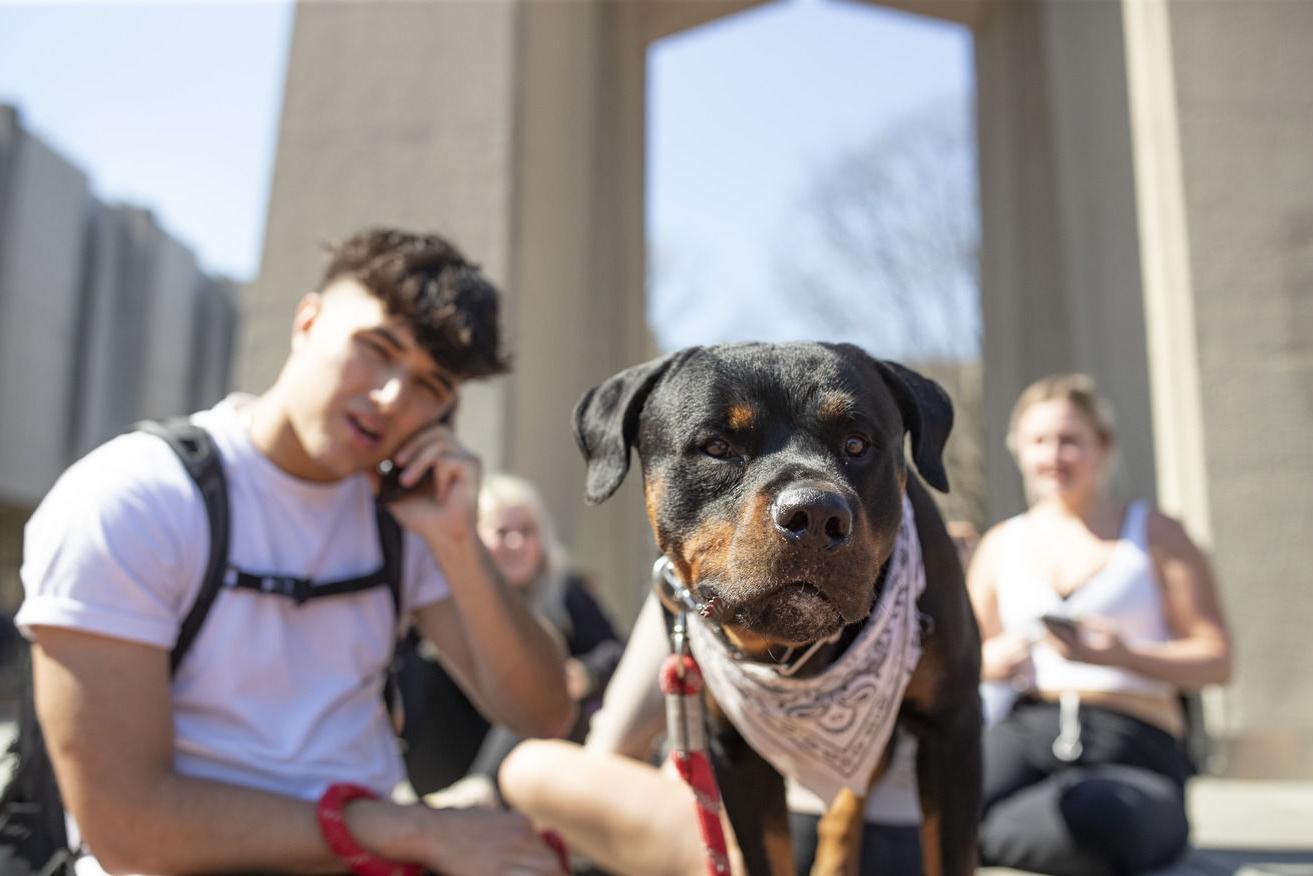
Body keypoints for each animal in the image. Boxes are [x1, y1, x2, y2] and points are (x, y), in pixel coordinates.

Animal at [569, 341, 982, 876]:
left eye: (856, 444)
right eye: (716, 446)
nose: (816, 513)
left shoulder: (953, 726)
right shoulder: (731, 750)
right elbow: (767, 852)